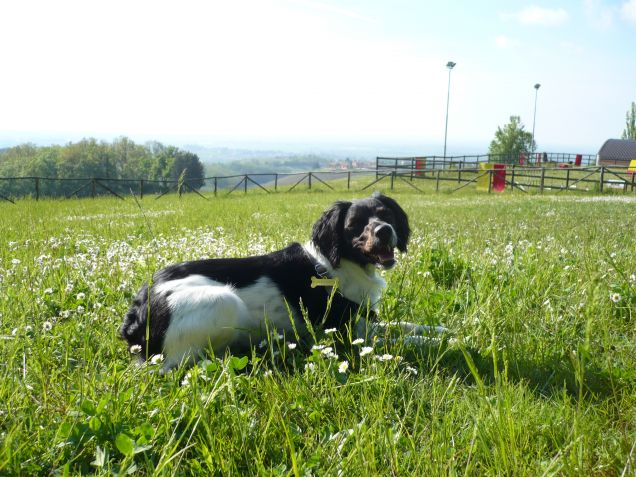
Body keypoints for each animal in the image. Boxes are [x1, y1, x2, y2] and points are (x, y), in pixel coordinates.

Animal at [121, 192, 412, 368]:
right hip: (224, 300)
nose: (384, 231)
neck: (338, 262)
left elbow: (411, 326)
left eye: (385, 214)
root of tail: (141, 306)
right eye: (355, 224)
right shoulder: (352, 329)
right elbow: (405, 336)